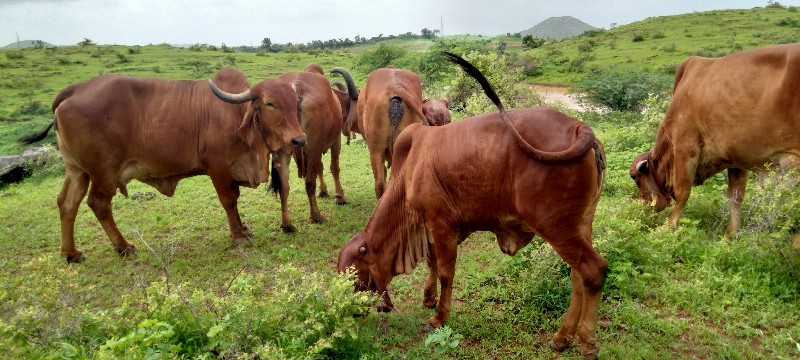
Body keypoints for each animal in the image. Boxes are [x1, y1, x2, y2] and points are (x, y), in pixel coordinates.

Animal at [19, 67, 306, 262]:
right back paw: (123, 246)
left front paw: (243, 228)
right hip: (103, 172)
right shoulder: (217, 166)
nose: (299, 139)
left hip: (78, 170)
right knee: (98, 204)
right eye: (270, 103)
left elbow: (234, 201)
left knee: (67, 203)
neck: (235, 112)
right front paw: (238, 236)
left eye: (295, 102)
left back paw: (71, 252)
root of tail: (76, 89)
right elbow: (228, 200)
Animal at [270, 70, 348, 231]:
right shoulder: (335, 142)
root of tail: (295, 87)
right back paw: (316, 216)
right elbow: (334, 168)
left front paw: (324, 191)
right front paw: (339, 196)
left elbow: (320, 168)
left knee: (284, 186)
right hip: (312, 148)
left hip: (283, 152)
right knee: (309, 183)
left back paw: (287, 224)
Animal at [628, 43, 800, 236]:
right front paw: (730, 235)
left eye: (634, 177)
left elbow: (682, 192)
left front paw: (669, 227)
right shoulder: (735, 158)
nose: (641, 207)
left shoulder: (685, 146)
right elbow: (735, 196)